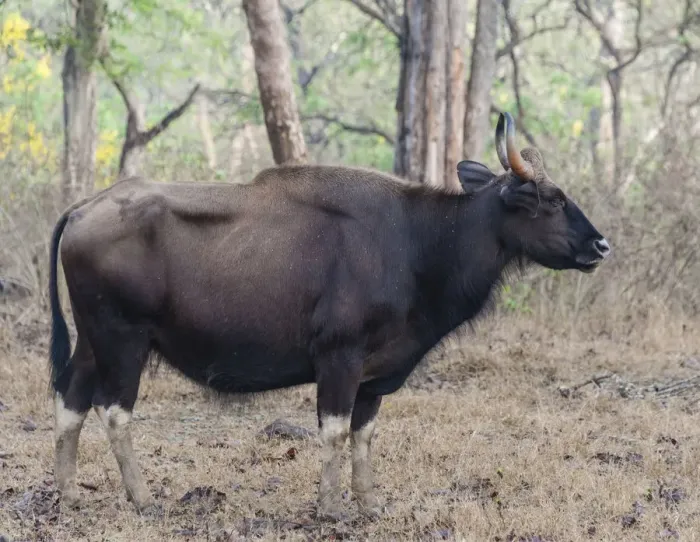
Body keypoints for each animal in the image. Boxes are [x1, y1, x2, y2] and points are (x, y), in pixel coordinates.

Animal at [47, 112, 610, 520]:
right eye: (549, 199)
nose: (600, 244)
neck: (419, 243)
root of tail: (83, 207)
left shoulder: (374, 375)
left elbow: (364, 434)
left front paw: (369, 502)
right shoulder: (340, 359)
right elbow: (335, 432)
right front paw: (330, 507)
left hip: (93, 340)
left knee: (71, 398)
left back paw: (70, 494)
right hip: (123, 339)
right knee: (114, 411)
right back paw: (142, 498)